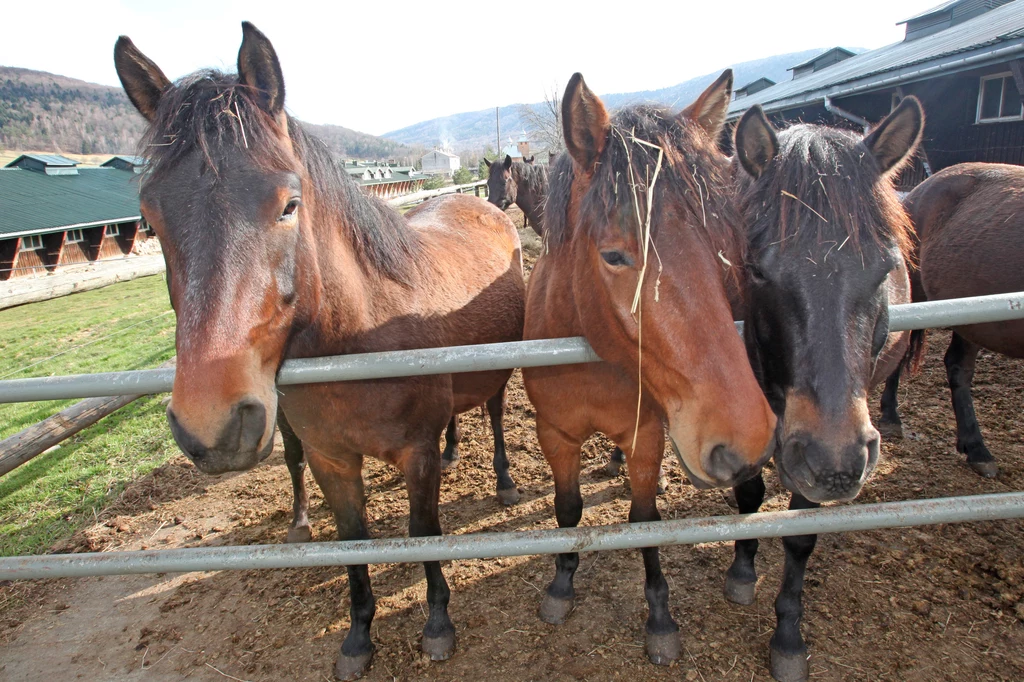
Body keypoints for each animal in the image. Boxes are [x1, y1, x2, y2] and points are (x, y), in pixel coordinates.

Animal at [115, 23, 524, 675]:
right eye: (150, 218)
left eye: (289, 203)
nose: (213, 424)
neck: (362, 338)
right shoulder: (332, 460)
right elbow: (352, 542)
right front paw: (358, 636)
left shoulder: (414, 455)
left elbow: (423, 531)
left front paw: (437, 623)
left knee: (493, 409)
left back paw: (505, 479)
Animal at [524, 73, 770, 663]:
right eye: (614, 256)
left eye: (722, 245)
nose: (746, 439)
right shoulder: (555, 433)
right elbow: (567, 510)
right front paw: (561, 583)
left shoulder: (646, 433)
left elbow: (644, 522)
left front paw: (659, 616)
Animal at [733, 99, 925, 679]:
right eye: (758, 269)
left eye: (886, 267)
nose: (834, 461)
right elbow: (748, 494)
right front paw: (741, 572)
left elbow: (799, 535)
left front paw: (788, 637)